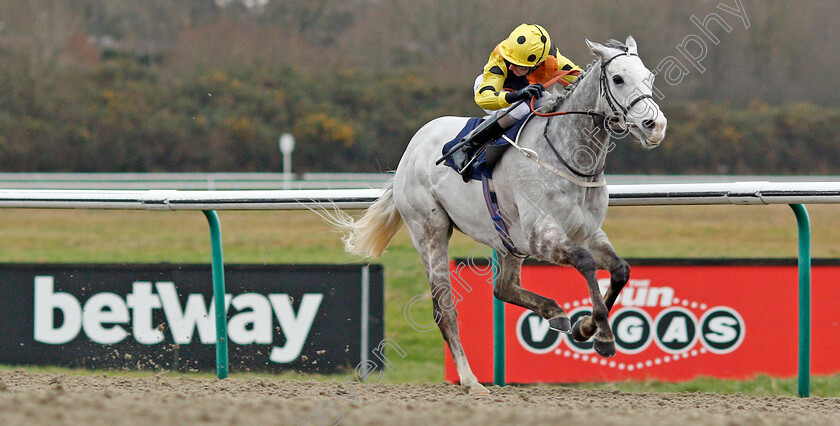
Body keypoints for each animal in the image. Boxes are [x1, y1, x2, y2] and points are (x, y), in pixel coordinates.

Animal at [324, 36, 668, 392]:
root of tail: (410, 151)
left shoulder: (589, 233)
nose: (654, 126)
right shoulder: (542, 234)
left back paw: (554, 312)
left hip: (508, 240)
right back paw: (470, 379)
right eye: (618, 78)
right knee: (444, 308)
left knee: (503, 287)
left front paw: (588, 328)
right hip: (429, 229)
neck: (571, 159)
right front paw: (599, 334)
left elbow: (621, 270)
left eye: (649, 77)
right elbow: (585, 263)